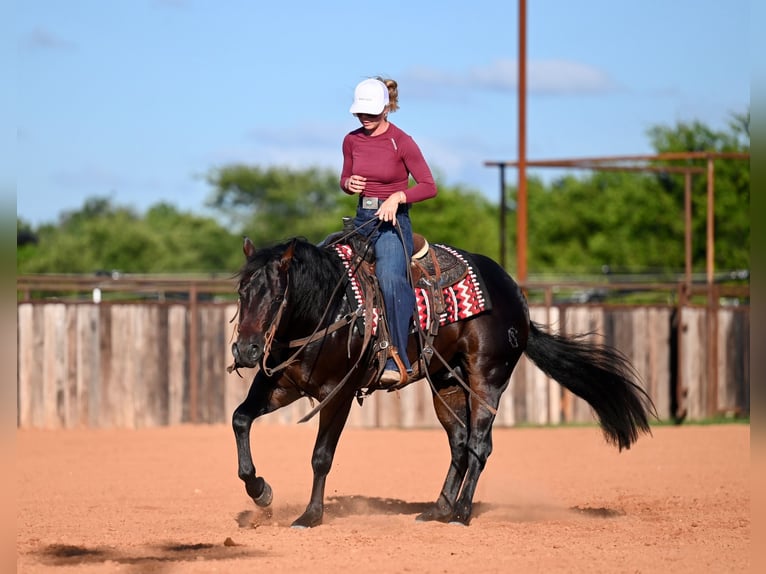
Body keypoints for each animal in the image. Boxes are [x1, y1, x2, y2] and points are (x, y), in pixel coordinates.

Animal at [229, 234, 655, 528]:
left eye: (276, 295)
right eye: (242, 292)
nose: (247, 351)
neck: (328, 308)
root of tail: (516, 297)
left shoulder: (339, 393)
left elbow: (321, 455)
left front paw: (311, 516)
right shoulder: (281, 384)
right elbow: (240, 419)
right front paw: (261, 491)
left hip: (486, 379)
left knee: (480, 445)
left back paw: (462, 512)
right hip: (446, 384)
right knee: (460, 443)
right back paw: (439, 508)